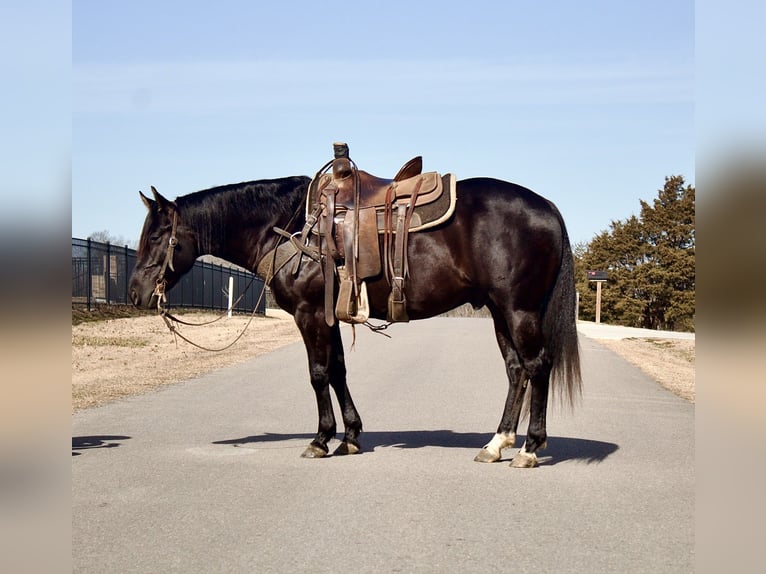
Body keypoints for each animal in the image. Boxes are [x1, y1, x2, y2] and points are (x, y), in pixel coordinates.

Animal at [128, 165, 581, 468]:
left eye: (158, 236)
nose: (135, 293)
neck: (291, 226)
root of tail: (547, 206)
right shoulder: (328, 317)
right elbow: (338, 371)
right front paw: (349, 435)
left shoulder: (310, 314)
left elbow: (318, 374)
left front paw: (320, 439)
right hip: (499, 311)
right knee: (516, 370)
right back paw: (496, 443)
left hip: (518, 308)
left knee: (537, 365)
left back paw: (529, 448)